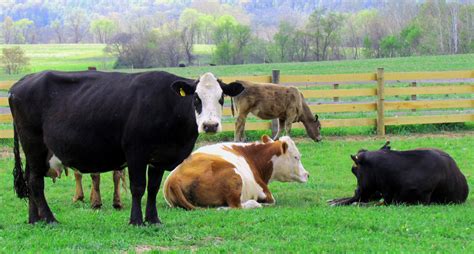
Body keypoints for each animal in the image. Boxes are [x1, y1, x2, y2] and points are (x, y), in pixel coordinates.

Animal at [10, 69, 244, 224]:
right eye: (196, 97)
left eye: (221, 98)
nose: (210, 125)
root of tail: (22, 82)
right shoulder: (135, 153)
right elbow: (138, 187)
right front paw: (136, 220)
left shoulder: (159, 157)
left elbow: (153, 188)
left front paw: (153, 219)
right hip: (34, 144)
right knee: (36, 182)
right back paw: (49, 219)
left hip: (35, 152)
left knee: (31, 179)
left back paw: (34, 219)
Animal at [165, 135, 310, 208]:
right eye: (296, 157)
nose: (307, 174)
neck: (253, 157)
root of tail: (174, 179)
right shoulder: (265, 192)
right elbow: (271, 200)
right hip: (233, 176)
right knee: (235, 206)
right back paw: (253, 204)